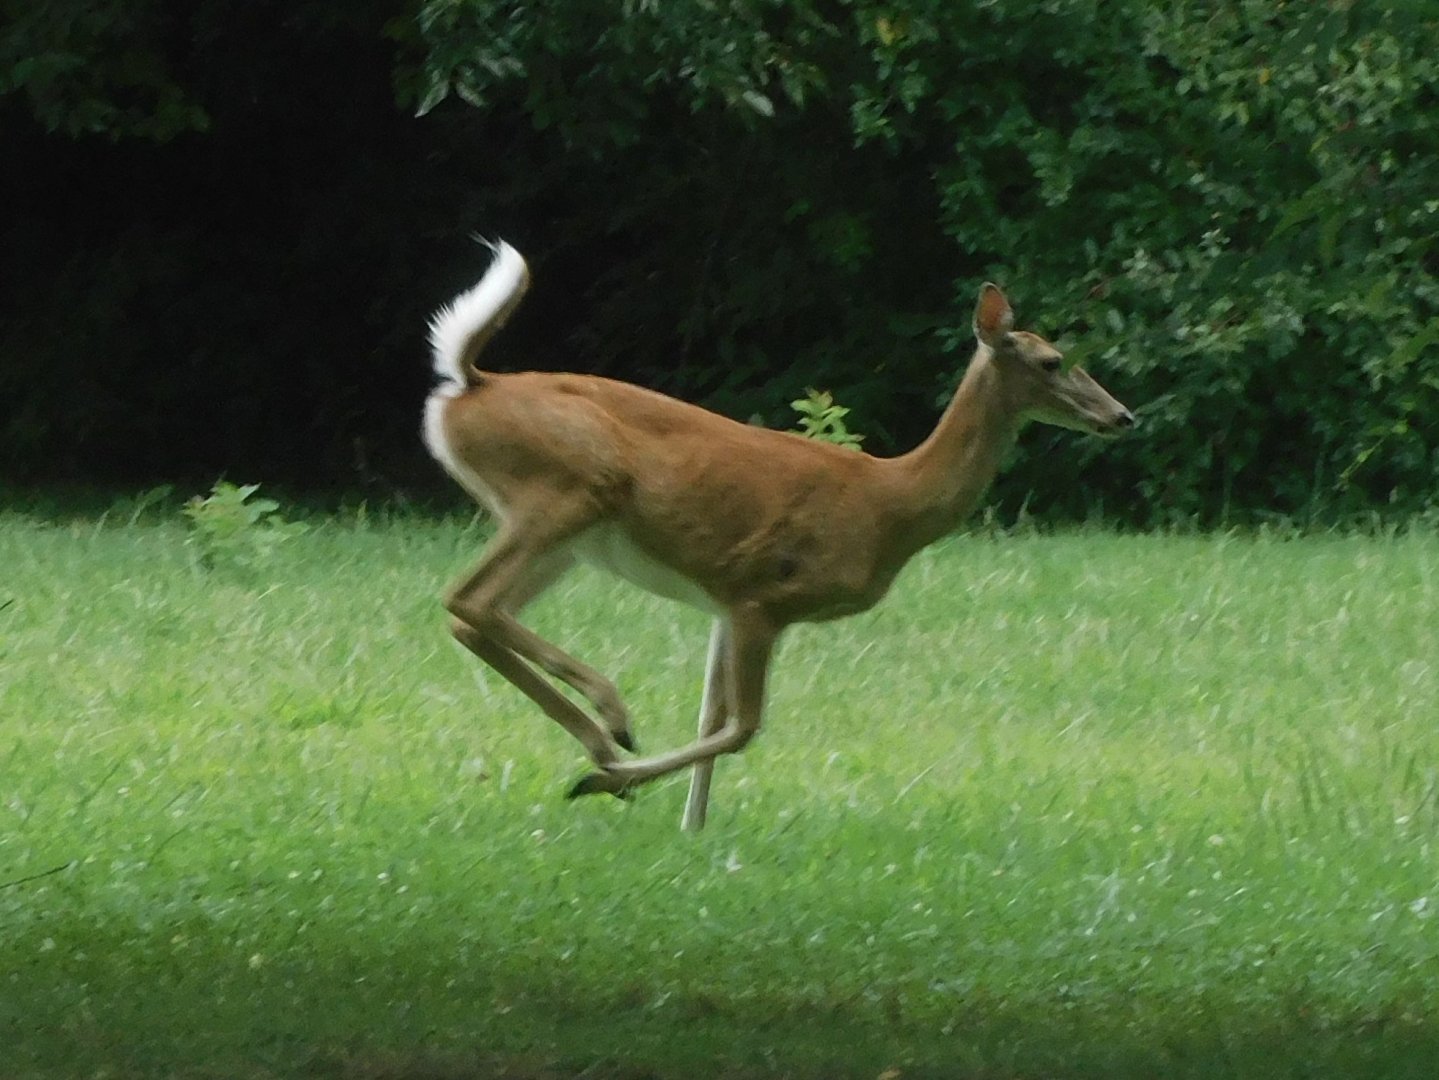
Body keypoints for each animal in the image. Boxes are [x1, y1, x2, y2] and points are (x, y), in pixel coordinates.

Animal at [423, 240, 1134, 831]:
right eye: (1052, 361)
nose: (1122, 415)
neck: (892, 504)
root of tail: (470, 383)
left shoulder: (722, 598)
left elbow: (711, 714)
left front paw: (690, 825)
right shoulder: (762, 595)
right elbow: (743, 727)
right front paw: (609, 784)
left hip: (566, 538)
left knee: (473, 616)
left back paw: (603, 742)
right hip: (566, 492)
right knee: (469, 599)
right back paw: (612, 726)